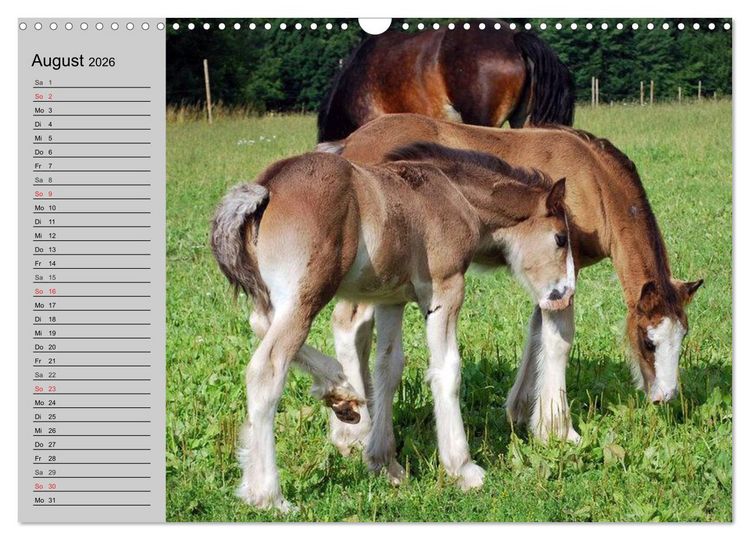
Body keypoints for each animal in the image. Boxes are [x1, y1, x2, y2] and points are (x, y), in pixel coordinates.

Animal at [211, 143, 574, 511]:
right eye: (560, 239)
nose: (564, 294)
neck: (452, 195)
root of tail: (265, 188)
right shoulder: (445, 287)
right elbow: (447, 371)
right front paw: (463, 469)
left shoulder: (390, 300)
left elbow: (387, 368)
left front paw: (385, 463)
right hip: (306, 295)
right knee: (266, 371)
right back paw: (268, 495)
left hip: (280, 297)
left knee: (260, 323)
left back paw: (339, 390)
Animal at [316, 113, 703, 453]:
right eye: (648, 341)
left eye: (682, 337)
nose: (665, 396)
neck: (593, 181)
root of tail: (347, 145)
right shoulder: (566, 267)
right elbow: (559, 339)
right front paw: (560, 430)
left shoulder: (549, 278)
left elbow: (537, 332)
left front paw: (522, 412)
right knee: (347, 326)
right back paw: (353, 434)